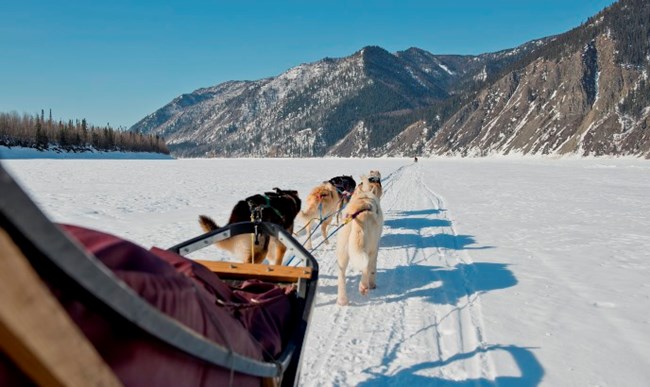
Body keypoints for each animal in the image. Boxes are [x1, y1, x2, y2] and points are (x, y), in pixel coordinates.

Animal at [336, 176, 382, 306]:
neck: (364, 197)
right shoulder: (375, 249)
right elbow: (372, 268)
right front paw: (372, 284)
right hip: (368, 249)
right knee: (366, 267)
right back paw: (364, 286)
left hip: (342, 251)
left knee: (341, 274)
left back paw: (342, 300)